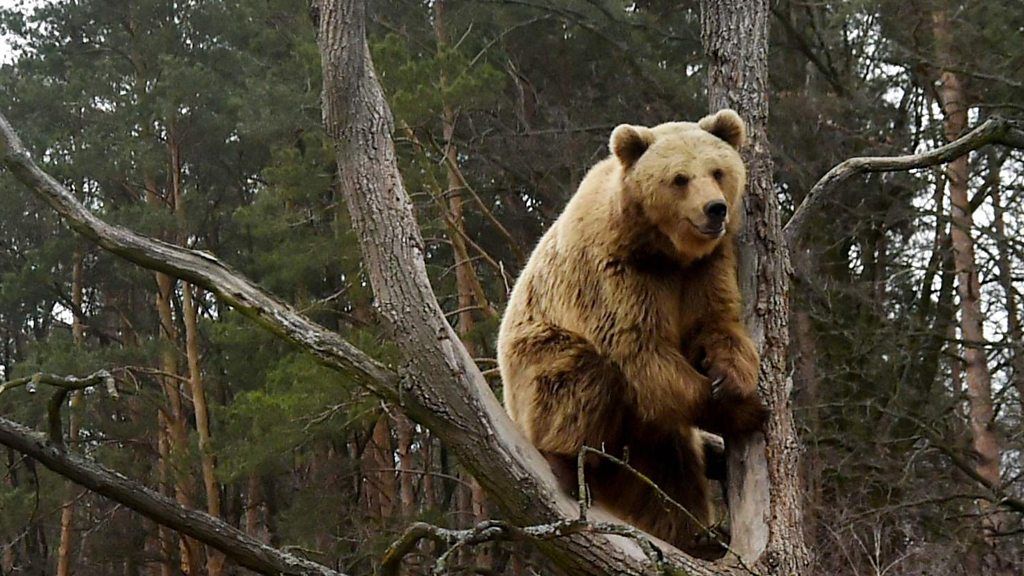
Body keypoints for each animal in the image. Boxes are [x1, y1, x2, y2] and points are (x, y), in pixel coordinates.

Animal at [496, 109, 767, 555]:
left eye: (718, 170)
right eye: (680, 178)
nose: (715, 209)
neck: (663, 249)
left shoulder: (705, 269)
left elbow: (715, 323)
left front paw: (732, 378)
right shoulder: (617, 273)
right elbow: (641, 353)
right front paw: (744, 409)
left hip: (641, 442)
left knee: (667, 477)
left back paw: (697, 536)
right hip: (534, 365)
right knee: (585, 377)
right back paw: (568, 462)